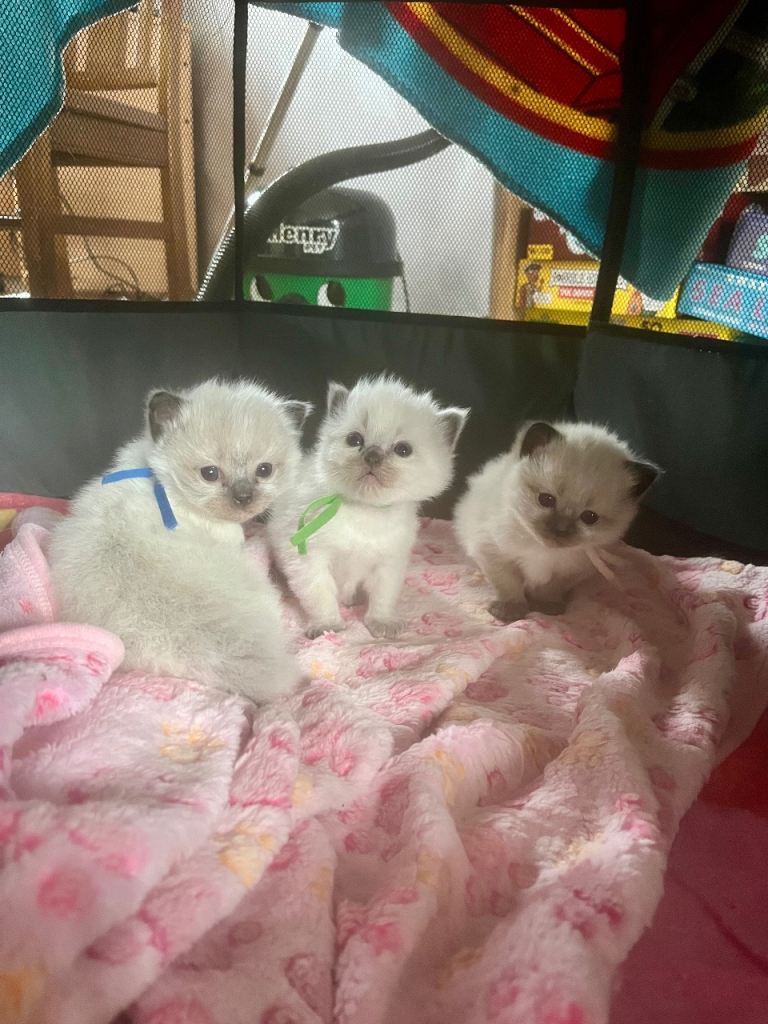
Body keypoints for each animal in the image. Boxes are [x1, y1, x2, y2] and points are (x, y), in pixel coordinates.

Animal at [268, 375, 469, 639]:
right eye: (355, 440)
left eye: (403, 450)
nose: (372, 456)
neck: (366, 511)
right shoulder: (309, 558)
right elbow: (321, 594)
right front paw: (327, 625)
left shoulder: (389, 562)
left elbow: (383, 596)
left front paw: (381, 623)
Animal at [454, 420, 659, 622]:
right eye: (546, 499)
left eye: (589, 517)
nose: (560, 529)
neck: (544, 550)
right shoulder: (492, 552)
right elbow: (509, 584)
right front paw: (510, 610)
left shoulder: (573, 571)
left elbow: (550, 588)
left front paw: (546, 606)